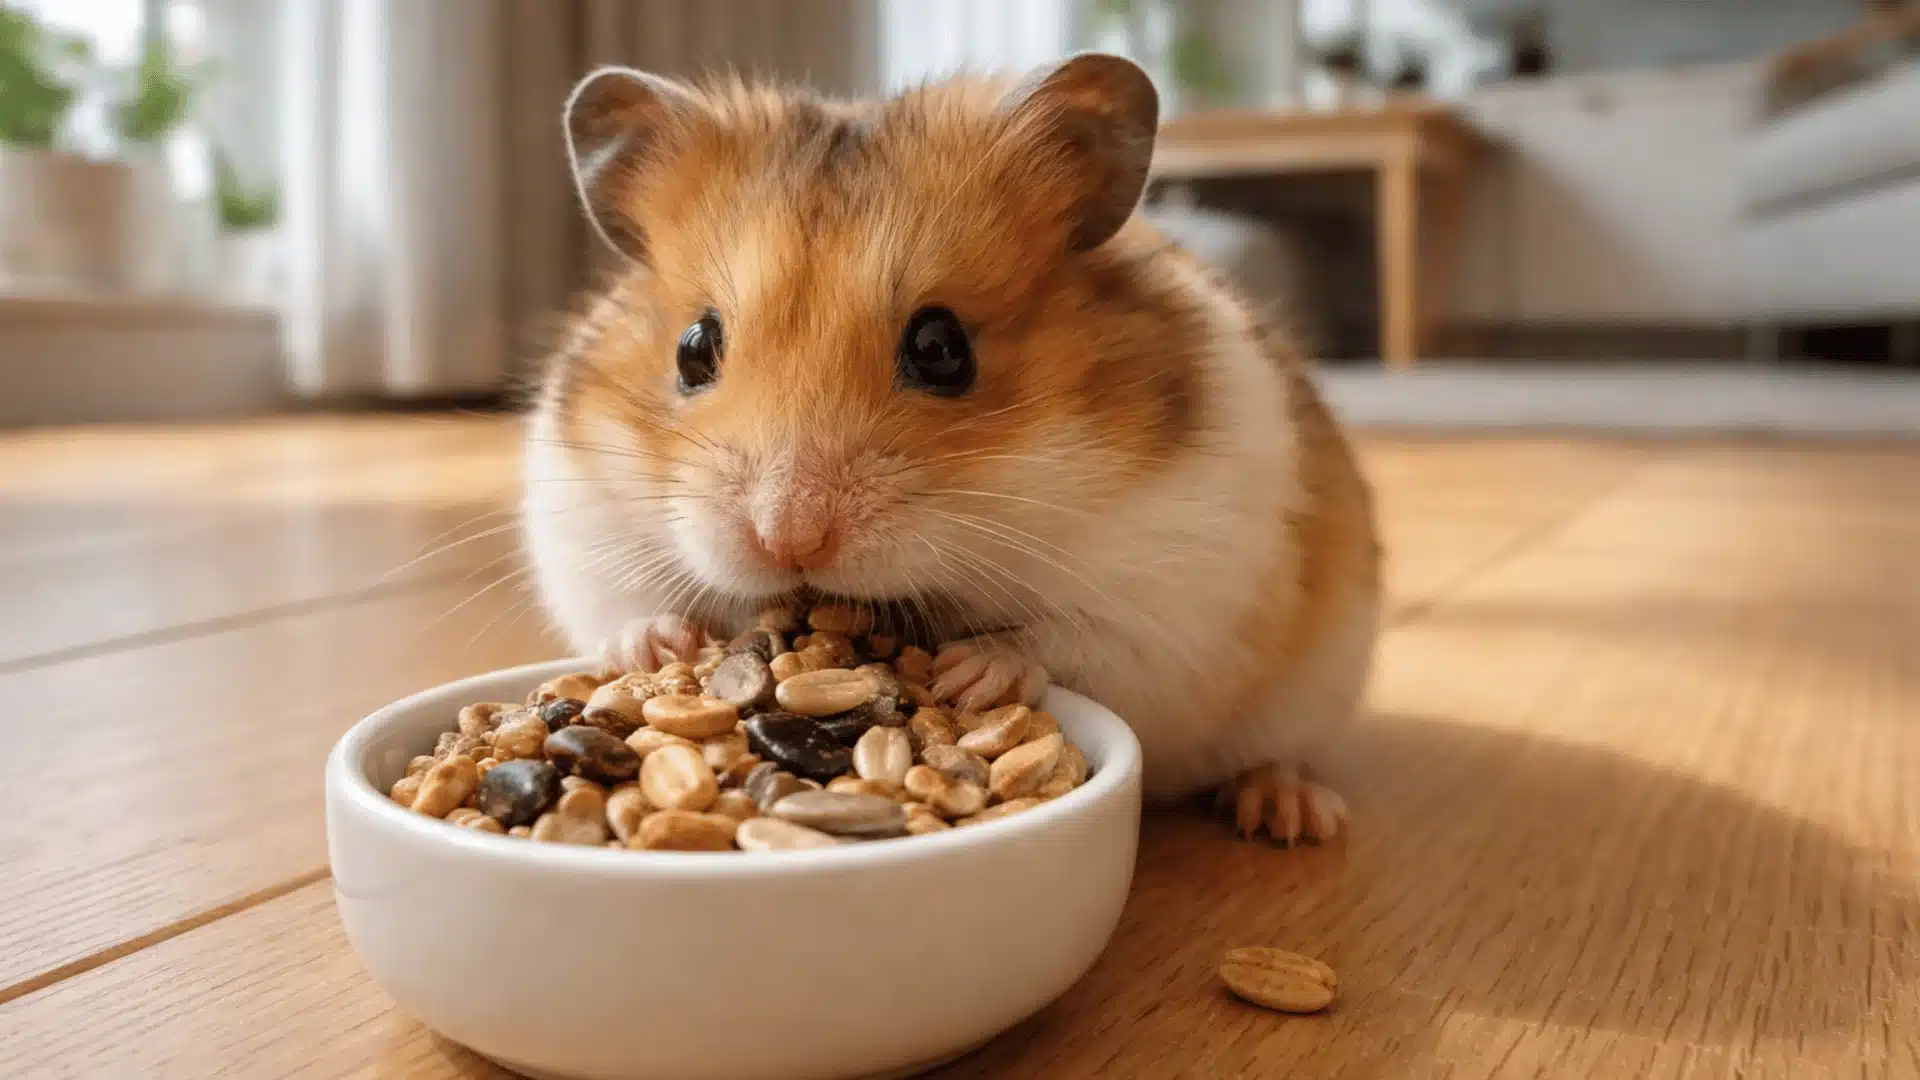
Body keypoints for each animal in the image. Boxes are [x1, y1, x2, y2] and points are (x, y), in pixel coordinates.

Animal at [524, 55, 1381, 843]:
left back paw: (1293, 813)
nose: (787, 539)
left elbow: (1070, 640)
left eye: (941, 348)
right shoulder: (585, 528)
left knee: (1276, 755)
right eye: (693, 349)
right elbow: (624, 607)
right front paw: (655, 648)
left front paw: (969, 673)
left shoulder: (1182, 596)